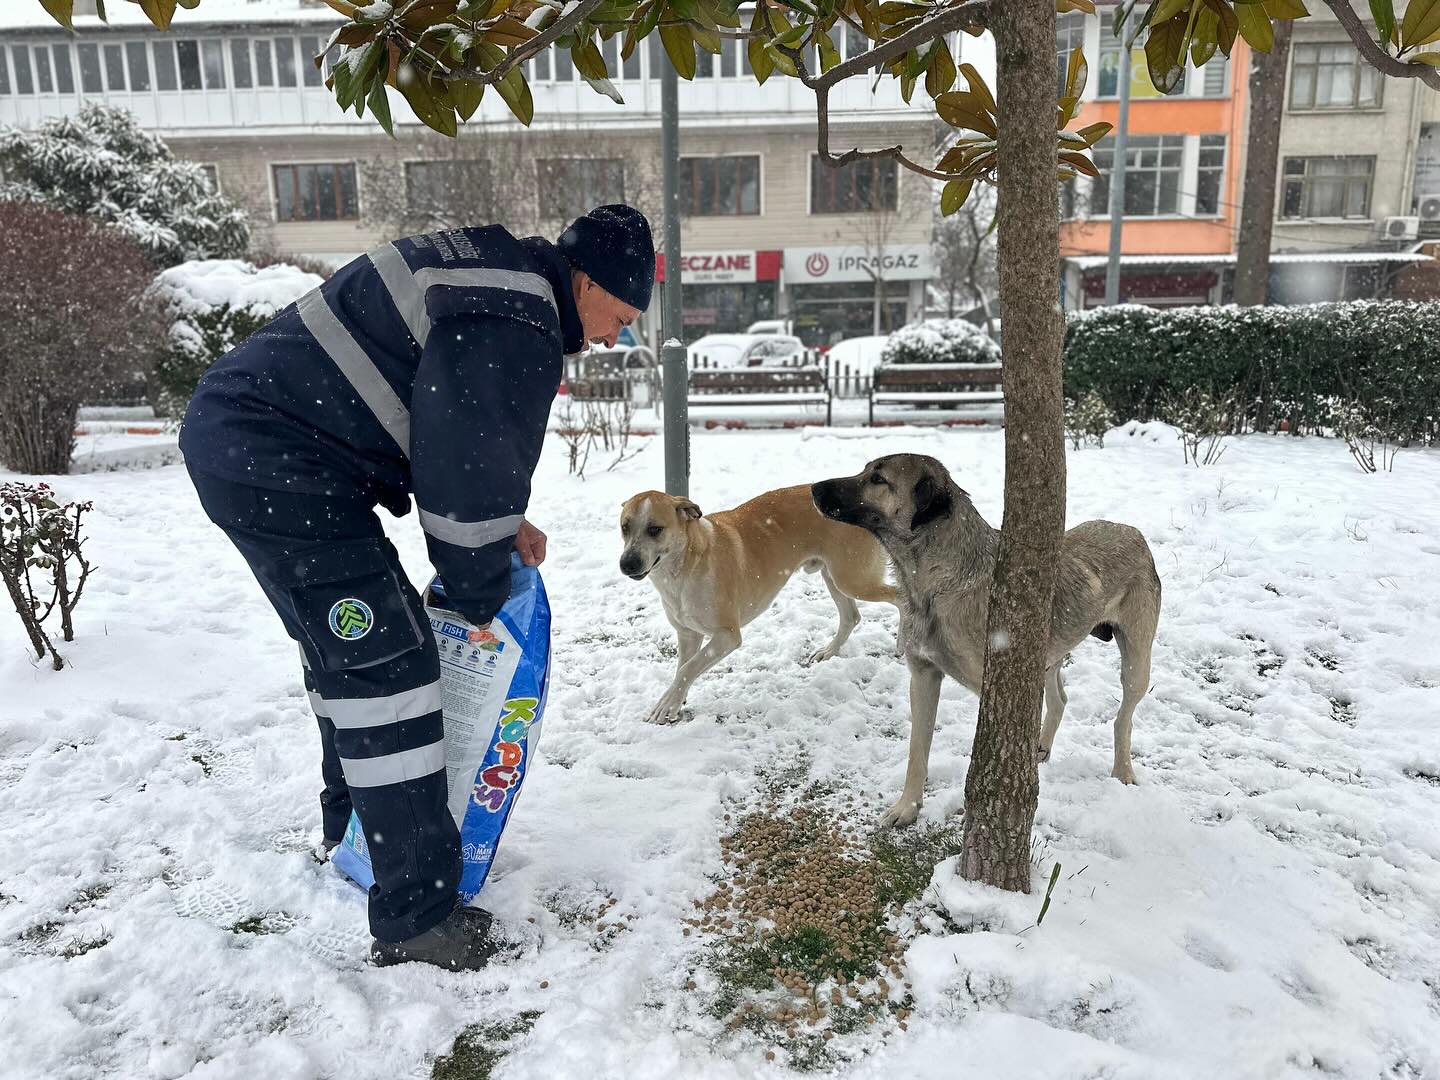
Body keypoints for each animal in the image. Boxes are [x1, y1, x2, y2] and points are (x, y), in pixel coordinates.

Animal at [619, 489, 898, 728]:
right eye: (624, 527)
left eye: (655, 529)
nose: (626, 564)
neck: (685, 566)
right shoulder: (688, 633)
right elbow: (683, 667)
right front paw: (676, 700)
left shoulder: (727, 636)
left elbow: (688, 667)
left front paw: (666, 705)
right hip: (834, 576)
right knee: (851, 616)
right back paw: (828, 651)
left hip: (853, 580)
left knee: (899, 597)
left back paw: (903, 642)